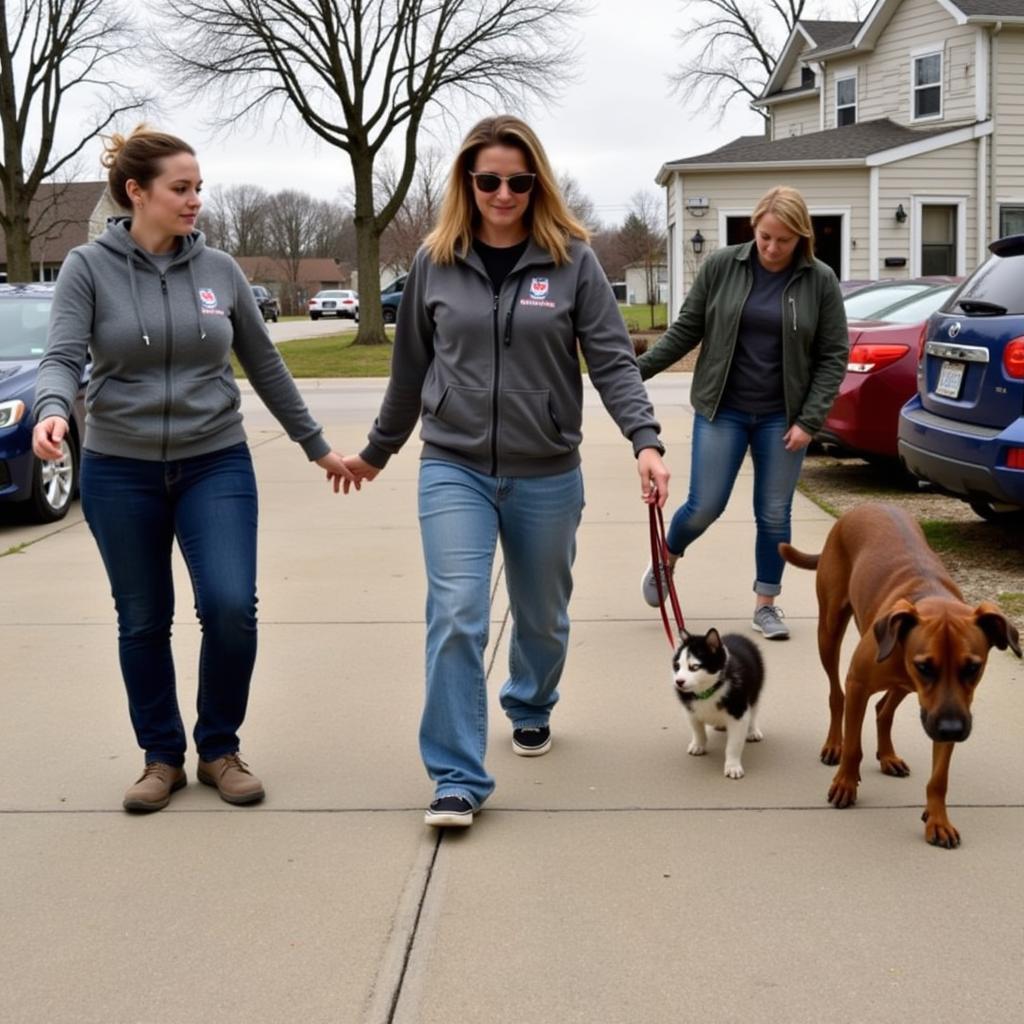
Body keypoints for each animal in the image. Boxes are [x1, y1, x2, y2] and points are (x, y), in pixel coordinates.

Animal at [675, 626, 765, 778]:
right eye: (677, 666)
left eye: (694, 667)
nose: (678, 682)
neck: (709, 691)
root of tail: (737, 635)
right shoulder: (690, 710)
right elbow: (697, 729)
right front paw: (698, 745)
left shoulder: (738, 713)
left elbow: (734, 744)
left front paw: (732, 766)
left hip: (755, 687)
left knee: (754, 709)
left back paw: (752, 731)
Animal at [778, 501, 1019, 847]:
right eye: (924, 666)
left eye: (973, 667)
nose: (951, 729)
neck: (931, 597)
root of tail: (867, 505)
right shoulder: (859, 683)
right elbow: (854, 745)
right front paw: (846, 783)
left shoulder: (941, 707)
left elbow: (939, 778)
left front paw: (938, 818)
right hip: (829, 631)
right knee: (837, 695)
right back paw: (834, 744)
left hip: (906, 688)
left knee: (883, 709)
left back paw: (888, 755)